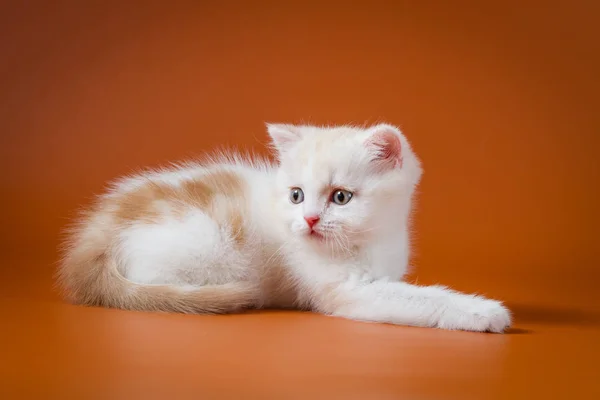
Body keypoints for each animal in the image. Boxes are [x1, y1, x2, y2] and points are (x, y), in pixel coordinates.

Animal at [57, 123, 510, 332]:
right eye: (296, 195)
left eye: (340, 197)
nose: (308, 219)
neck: (368, 239)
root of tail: (96, 236)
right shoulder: (348, 291)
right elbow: (423, 299)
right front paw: (483, 311)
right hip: (202, 245)